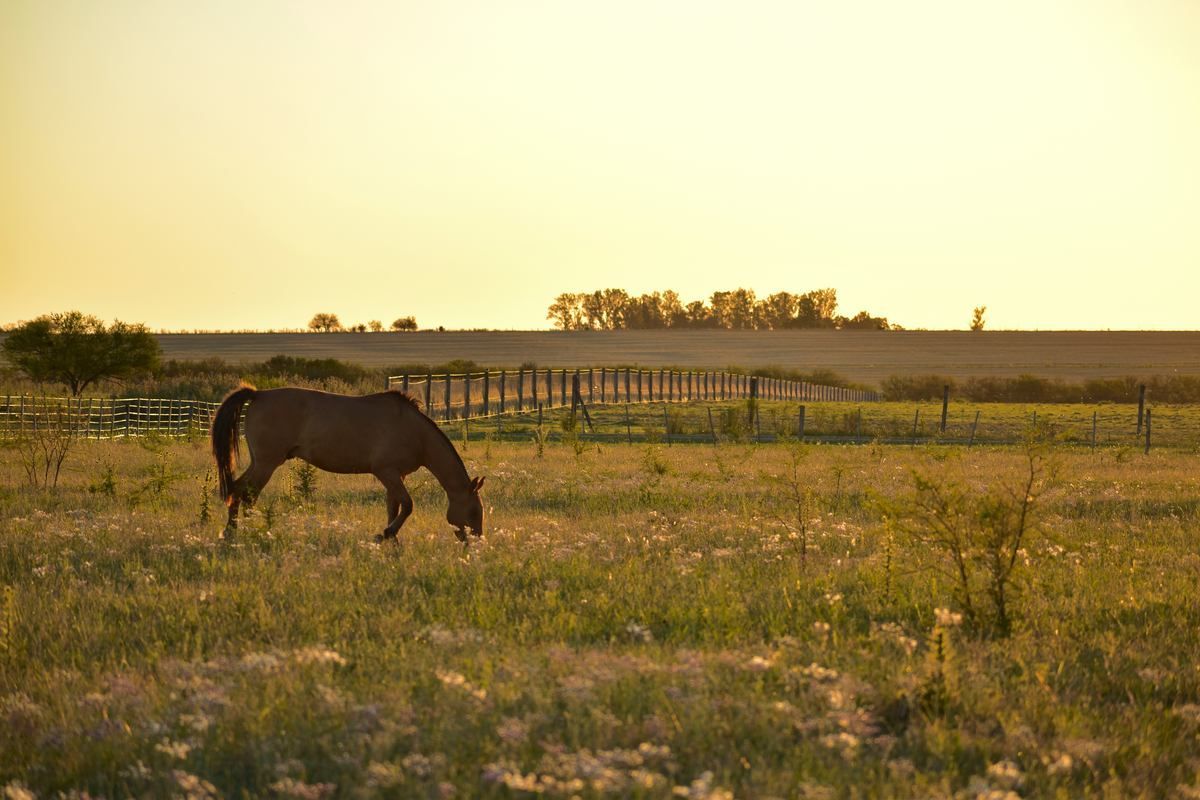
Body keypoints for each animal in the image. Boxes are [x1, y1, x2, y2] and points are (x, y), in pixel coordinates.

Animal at [211, 383, 485, 542]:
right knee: (246, 493)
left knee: (239, 490)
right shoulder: (387, 472)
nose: (476, 540)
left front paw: (388, 538)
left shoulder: (395, 476)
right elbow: (407, 506)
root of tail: (258, 394)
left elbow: (393, 507)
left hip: (259, 462)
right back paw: (241, 531)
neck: (415, 432)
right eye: (474, 511)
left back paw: (235, 530)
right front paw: (389, 534)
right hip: (266, 463)